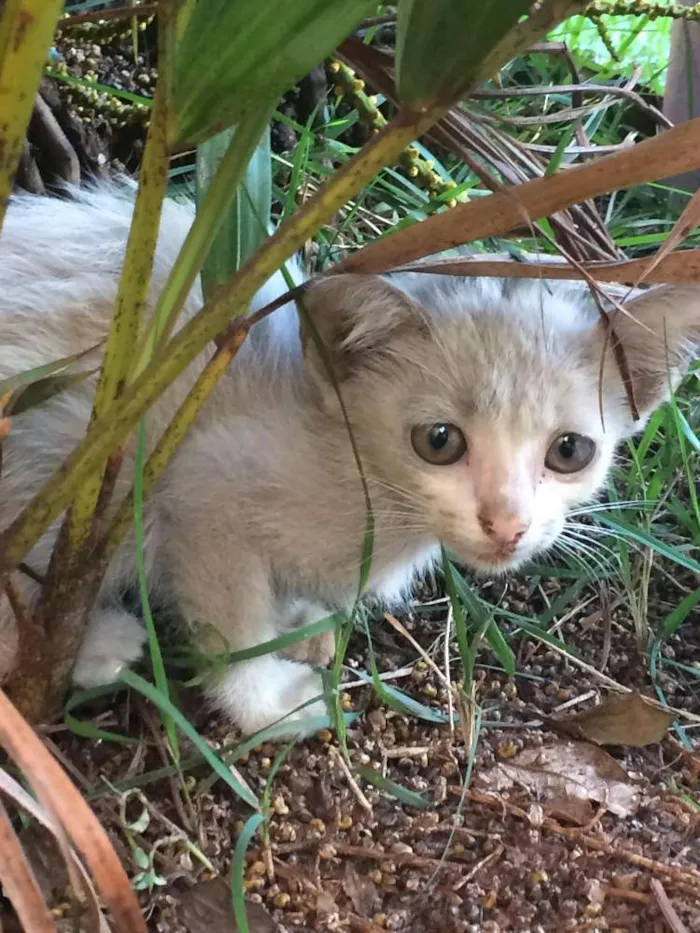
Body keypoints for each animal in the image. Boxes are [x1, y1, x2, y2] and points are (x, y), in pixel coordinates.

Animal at [1, 184, 700, 736]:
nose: (507, 524)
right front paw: (264, 703)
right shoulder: (200, 484)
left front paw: (296, 618)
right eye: (439, 441)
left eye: (570, 450)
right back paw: (91, 645)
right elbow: (232, 623)